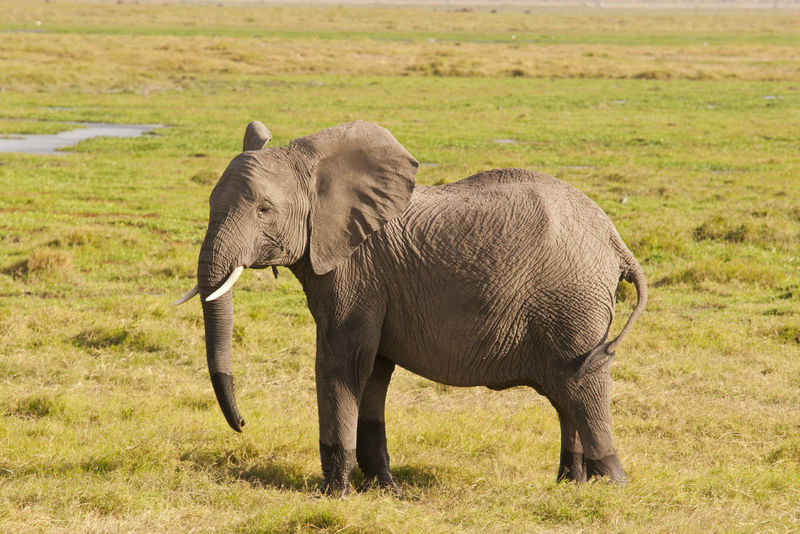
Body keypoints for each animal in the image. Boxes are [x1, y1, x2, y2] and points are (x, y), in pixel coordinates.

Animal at [173, 121, 644, 498]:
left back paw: (611, 487)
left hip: (572, 301)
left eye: (264, 210)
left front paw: (333, 494)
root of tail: (616, 240)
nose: (243, 424)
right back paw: (570, 484)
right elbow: (373, 374)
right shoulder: (373, 283)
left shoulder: (356, 272)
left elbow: (342, 363)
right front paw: (384, 490)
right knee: (566, 392)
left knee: (583, 385)